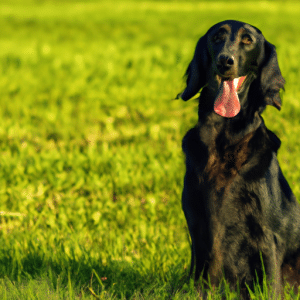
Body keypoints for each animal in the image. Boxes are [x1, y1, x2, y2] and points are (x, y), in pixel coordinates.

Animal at [179, 19, 300, 296]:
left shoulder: (268, 230)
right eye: (217, 37)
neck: (224, 139)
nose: (226, 60)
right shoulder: (198, 224)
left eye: (247, 40)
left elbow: (271, 283)